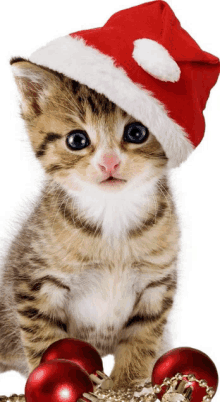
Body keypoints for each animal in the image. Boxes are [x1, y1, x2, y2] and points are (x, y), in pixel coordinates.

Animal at [0, 59, 179, 390]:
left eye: (136, 132)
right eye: (77, 140)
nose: (109, 162)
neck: (112, 217)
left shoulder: (156, 282)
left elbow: (142, 338)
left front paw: (125, 386)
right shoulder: (37, 283)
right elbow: (46, 341)